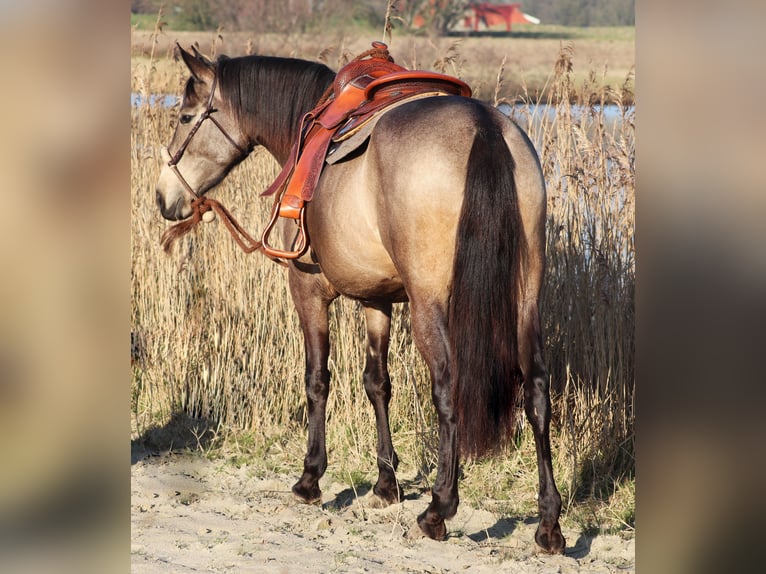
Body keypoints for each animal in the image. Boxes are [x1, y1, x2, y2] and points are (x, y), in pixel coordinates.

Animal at [154, 42, 564, 556]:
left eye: (187, 117)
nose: (164, 197)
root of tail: (484, 128)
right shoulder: (378, 301)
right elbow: (377, 383)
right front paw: (386, 484)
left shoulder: (308, 291)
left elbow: (317, 380)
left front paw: (310, 479)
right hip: (526, 300)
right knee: (537, 392)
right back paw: (548, 523)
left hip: (430, 305)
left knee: (447, 389)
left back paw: (439, 509)